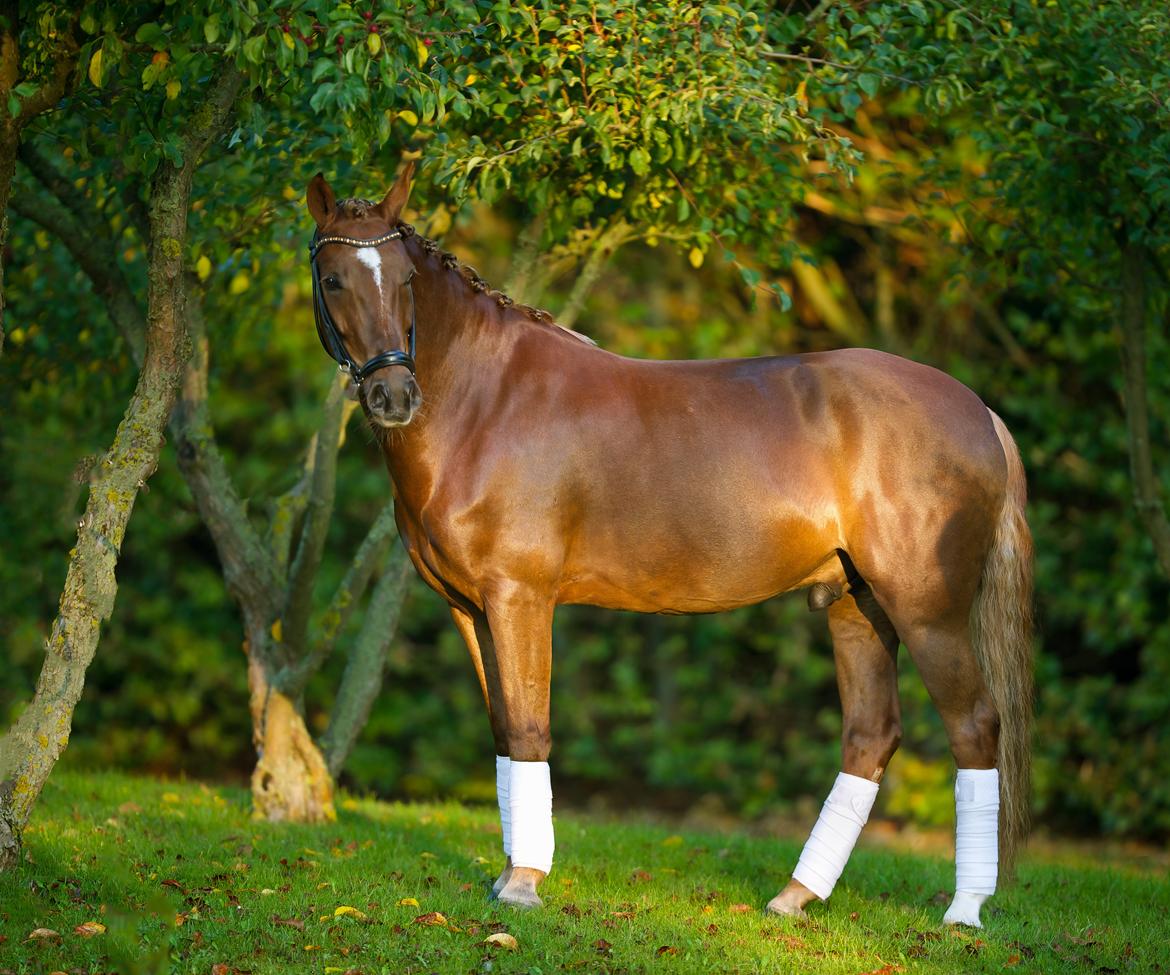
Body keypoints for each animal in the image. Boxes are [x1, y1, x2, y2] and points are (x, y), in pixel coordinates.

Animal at [304, 165, 1033, 928]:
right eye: (333, 279)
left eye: (404, 279)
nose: (393, 394)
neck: (486, 401)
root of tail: (977, 409)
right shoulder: (468, 607)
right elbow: (504, 733)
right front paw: (507, 877)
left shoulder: (519, 596)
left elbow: (530, 729)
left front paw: (524, 883)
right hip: (856, 605)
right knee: (871, 735)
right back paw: (795, 897)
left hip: (927, 610)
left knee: (975, 726)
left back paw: (964, 911)